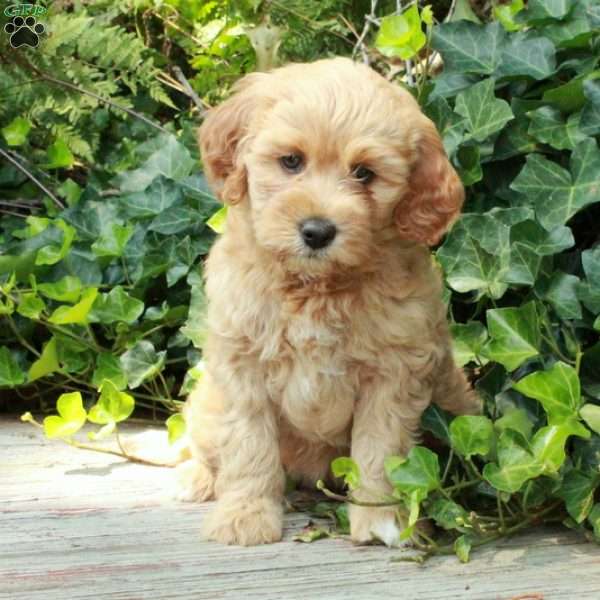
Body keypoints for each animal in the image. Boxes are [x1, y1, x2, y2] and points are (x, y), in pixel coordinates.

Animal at [180, 57, 480, 548]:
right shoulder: (242, 363)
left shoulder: (394, 370)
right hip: (207, 402)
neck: (315, 289)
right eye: (291, 161)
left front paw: (382, 520)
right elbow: (248, 443)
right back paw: (198, 478)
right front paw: (245, 515)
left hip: (458, 402)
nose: (317, 231)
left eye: (364, 173)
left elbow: (380, 450)